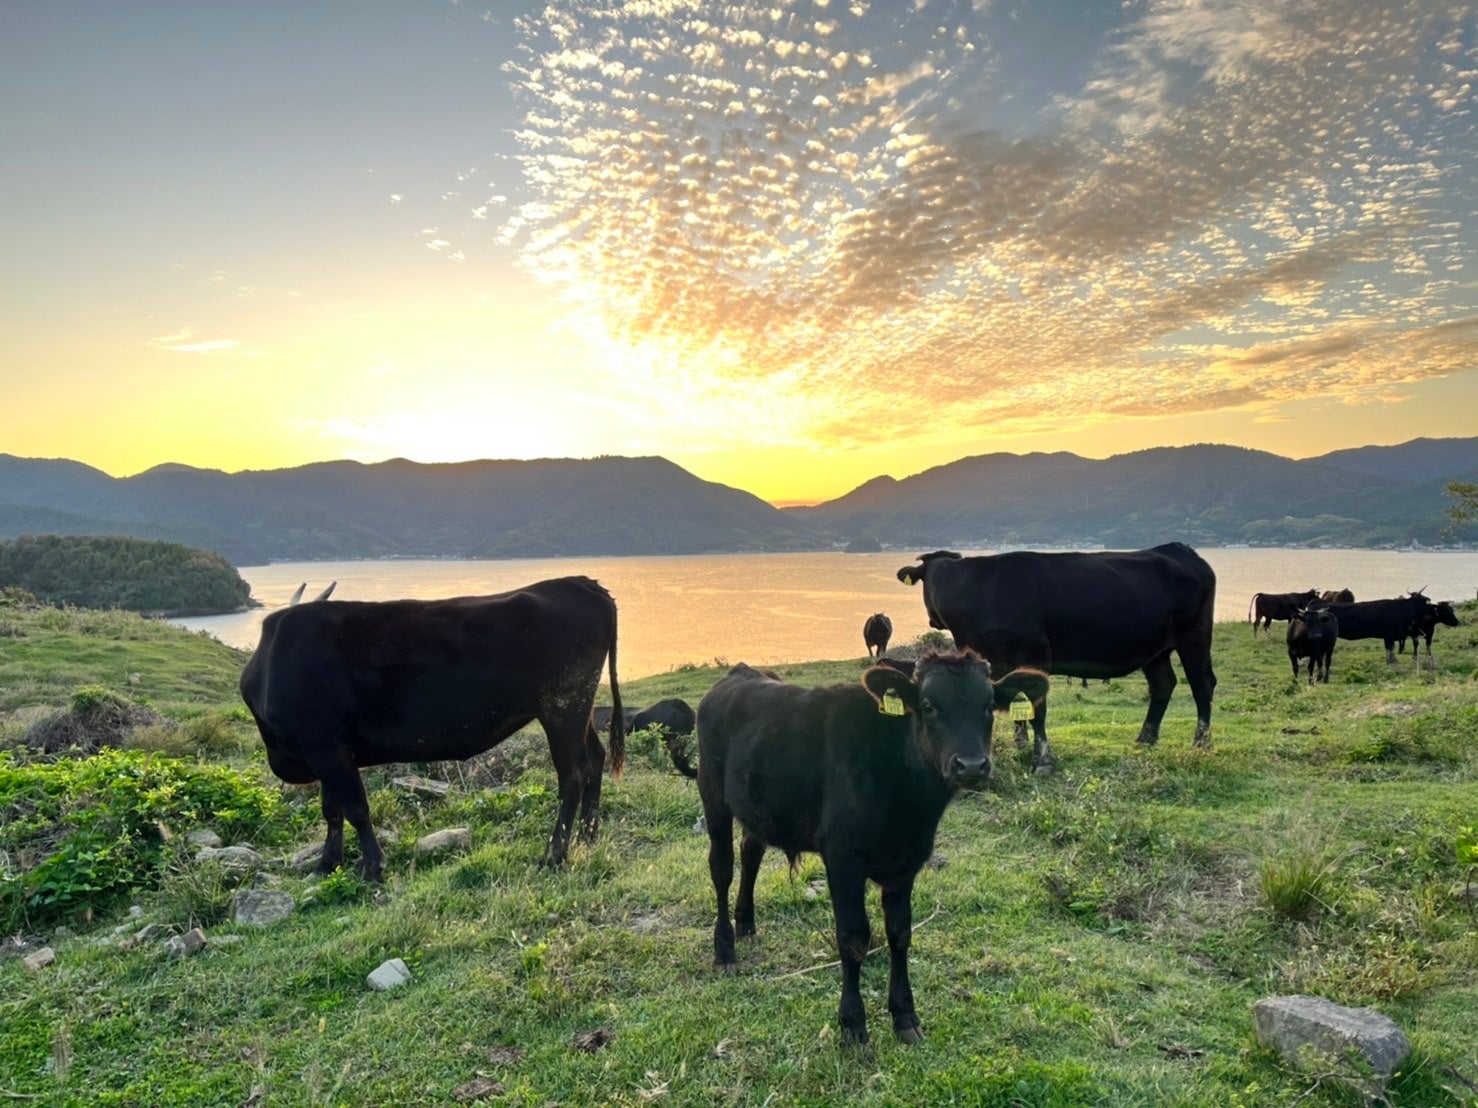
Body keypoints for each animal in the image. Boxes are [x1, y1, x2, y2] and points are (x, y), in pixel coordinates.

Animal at [235, 576, 623, 880]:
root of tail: (580, 583)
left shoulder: (325, 748)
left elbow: (356, 808)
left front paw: (373, 867)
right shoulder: (326, 750)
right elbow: (332, 810)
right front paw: (326, 865)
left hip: (562, 703)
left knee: (572, 775)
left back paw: (555, 854)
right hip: (577, 704)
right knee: (595, 759)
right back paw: (587, 834)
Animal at [892, 546, 1217, 774]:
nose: (933, 619)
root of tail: (1177, 549)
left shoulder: (1034, 655)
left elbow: (1037, 710)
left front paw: (1042, 760)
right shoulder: (998, 662)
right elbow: (1011, 701)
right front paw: (1019, 744)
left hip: (1194, 636)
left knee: (1202, 685)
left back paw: (1201, 743)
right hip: (1155, 649)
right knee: (1163, 684)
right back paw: (1145, 740)